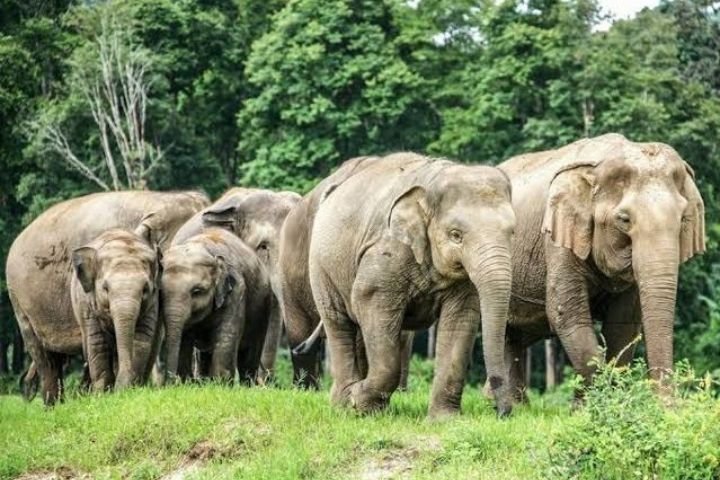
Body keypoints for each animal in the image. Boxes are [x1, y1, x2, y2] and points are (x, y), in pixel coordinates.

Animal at [71, 228, 161, 392]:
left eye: (145, 289)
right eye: (105, 288)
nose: (120, 390)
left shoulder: (153, 301)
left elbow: (140, 340)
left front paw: (131, 388)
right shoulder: (87, 303)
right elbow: (98, 343)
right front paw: (101, 393)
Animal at [160, 228, 272, 383]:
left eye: (197, 291)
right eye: (160, 292)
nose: (168, 384)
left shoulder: (236, 291)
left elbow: (226, 338)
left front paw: (221, 384)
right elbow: (184, 339)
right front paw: (187, 383)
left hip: (263, 307)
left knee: (249, 355)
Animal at [286, 152, 516, 416]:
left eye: (512, 233)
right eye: (455, 235)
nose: (501, 412)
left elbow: (461, 317)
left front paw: (445, 420)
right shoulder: (386, 253)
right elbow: (369, 299)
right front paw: (357, 400)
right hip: (321, 266)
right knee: (339, 323)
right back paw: (345, 403)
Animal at [497, 133, 705, 400]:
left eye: (682, 220)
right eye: (624, 219)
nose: (667, 404)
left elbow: (623, 324)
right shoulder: (557, 238)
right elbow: (566, 313)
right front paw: (594, 403)